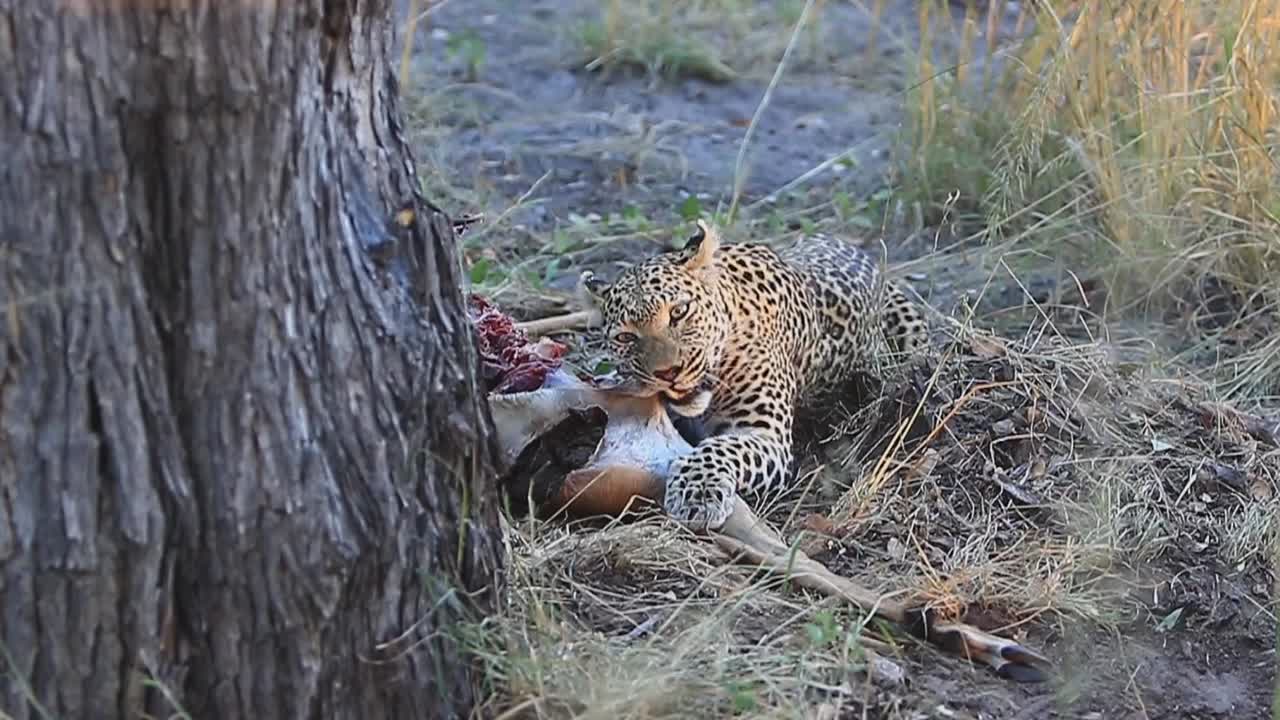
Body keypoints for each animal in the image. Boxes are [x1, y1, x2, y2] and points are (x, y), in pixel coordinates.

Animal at [579, 219, 929, 532]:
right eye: (626, 337)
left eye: (679, 312)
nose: (668, 373)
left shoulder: (766, 434)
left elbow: (717, 449)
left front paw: (696, 493)